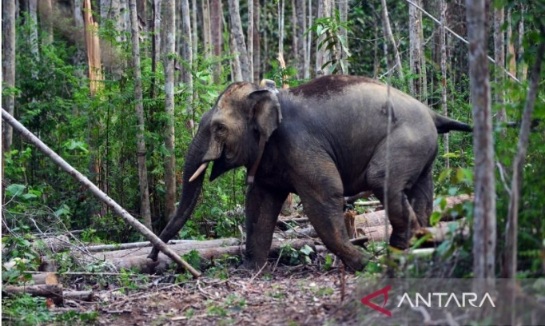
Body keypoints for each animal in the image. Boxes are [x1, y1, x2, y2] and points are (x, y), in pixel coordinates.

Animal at [147, 75, 470, 272]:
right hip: (424, 149)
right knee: (422, 191)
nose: (152, 259)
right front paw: (251, 270)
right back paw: (422, 245)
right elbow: (259, 204)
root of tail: (433, 114)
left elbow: (324, 195)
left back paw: (400, 251)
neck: (270, 96)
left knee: (382, 180)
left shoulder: (301, 144)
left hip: (407, 139)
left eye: (219, 128)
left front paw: (364, 263)